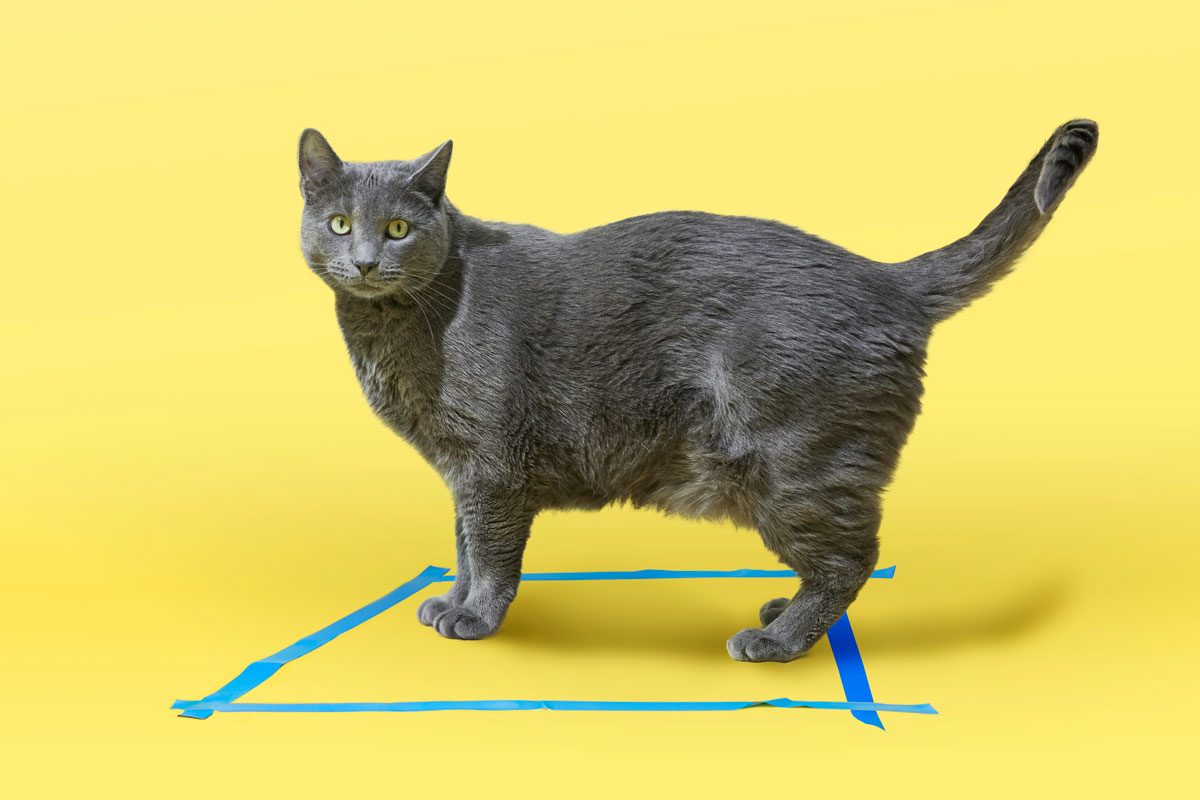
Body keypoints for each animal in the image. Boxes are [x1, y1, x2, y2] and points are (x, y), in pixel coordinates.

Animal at [297, 120, 1099, 662]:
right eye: (339, 223)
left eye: (397, 228)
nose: (364, 262)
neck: (396, 328)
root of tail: (884, 276)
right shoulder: (463, 471)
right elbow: (463, 547)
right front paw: (453, 602)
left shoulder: (492, 466)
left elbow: (490, 552)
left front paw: (476, 618)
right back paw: (783, 615)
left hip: (794, 466)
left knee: (851, 560)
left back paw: (777, 642)